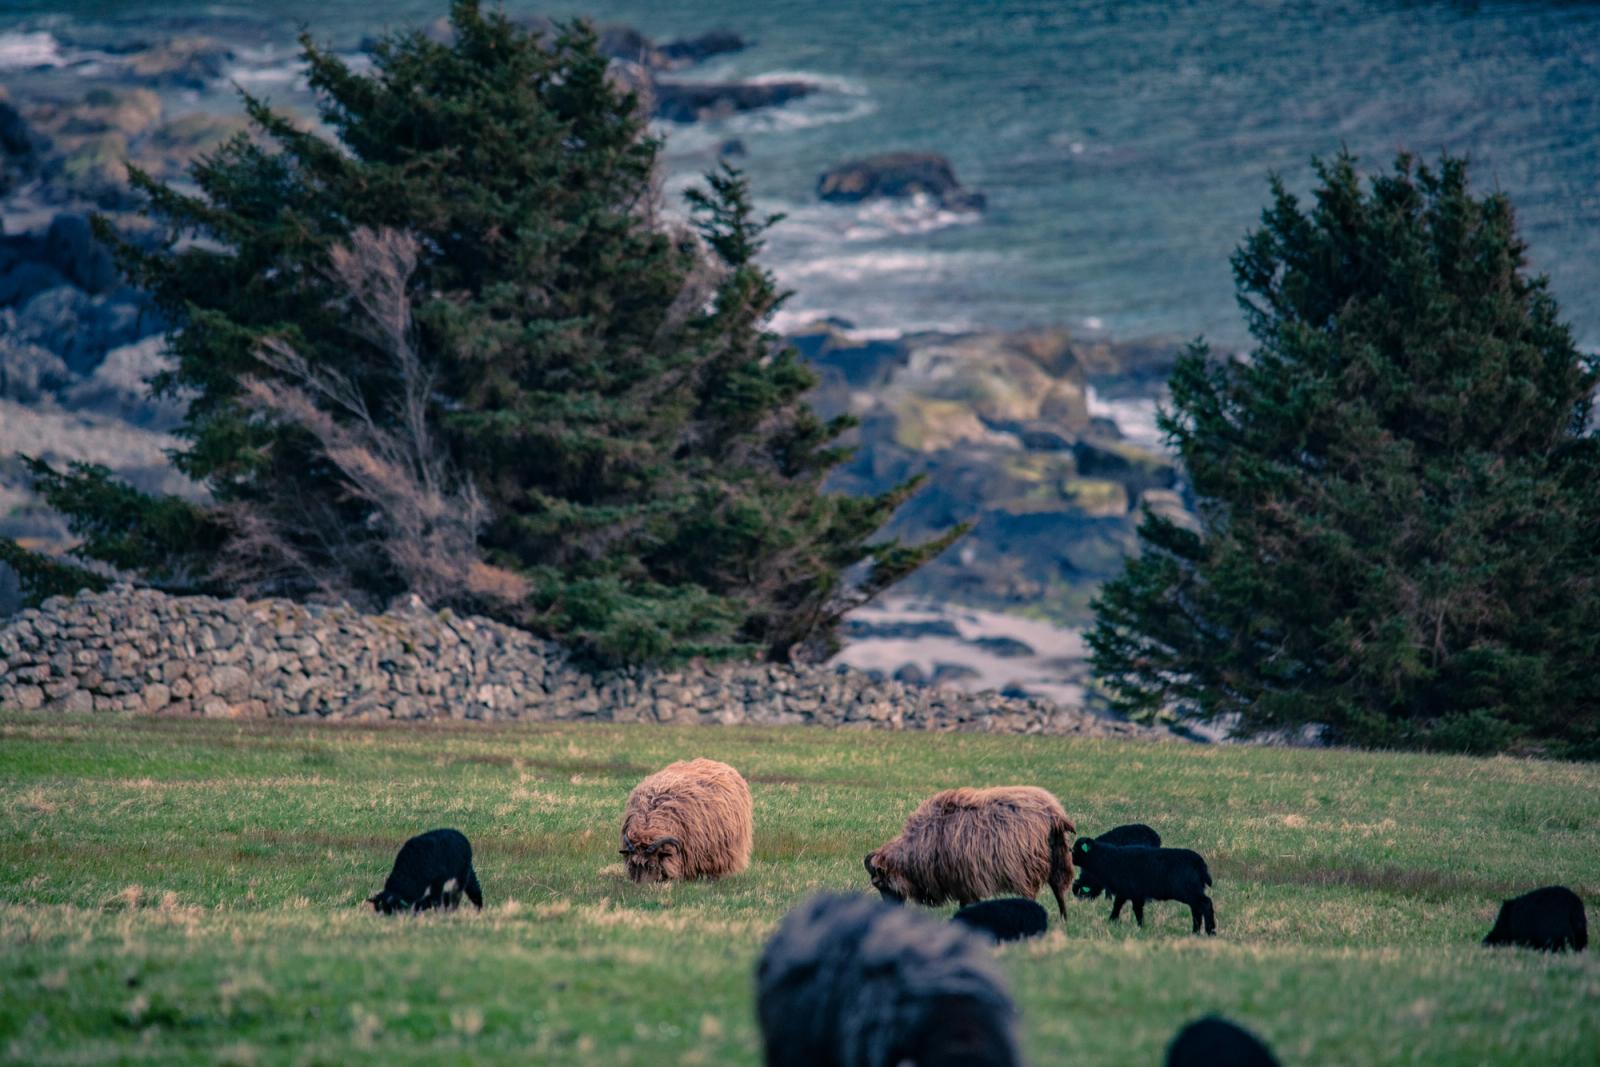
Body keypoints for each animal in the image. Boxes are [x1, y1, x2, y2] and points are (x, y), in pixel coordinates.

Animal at [865, 786, 1076, 921]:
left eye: (879, 884)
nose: (888, 912)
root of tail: (1054, 815)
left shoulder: (965, 880)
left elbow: (965, 905)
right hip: (1060, 859)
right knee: (1060, 893)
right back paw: (1064, 922)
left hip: (1025, 868)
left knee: (1031, 897)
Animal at [1071, 837, 1215, 934]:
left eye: (1076, 850)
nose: (1072, 861)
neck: (1107, 858)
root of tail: (1200, 863)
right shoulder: (1130, 893)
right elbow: (1127, 908)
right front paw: (1132, 925)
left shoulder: (1129, 890)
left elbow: (1128, 908)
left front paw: (1121, 923)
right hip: (1192, 890)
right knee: (1196, 908)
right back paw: (1196, 932)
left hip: (1187, 889)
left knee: (1205, 904)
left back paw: (1210, 931)